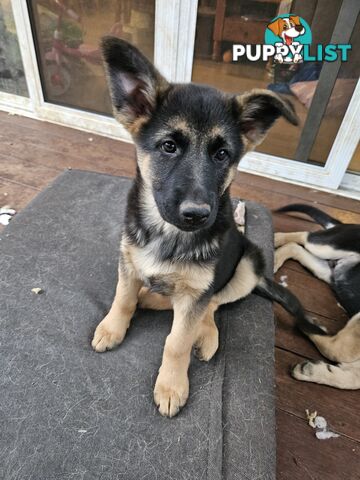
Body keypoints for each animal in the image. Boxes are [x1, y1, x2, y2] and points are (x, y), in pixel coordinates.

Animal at [92, 38, 324, 416]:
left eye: (222, 154)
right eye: (169, 146)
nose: (197, 214)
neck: (169, 235)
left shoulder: (198, 290)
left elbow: (177, 341)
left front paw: (171, 385)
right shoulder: (128, 262)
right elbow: (122, 298)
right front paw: (113, 328)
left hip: (246, 265)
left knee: (212, 304)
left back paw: (203, 331)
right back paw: (149, 296)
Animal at [274, 204, 358, 388]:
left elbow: (352, 380)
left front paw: (312, 371)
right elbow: (337, 349)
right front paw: (309, 325)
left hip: (330, 271)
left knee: (296, 247)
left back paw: (276, 257)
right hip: (329, 247)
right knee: (305, 236)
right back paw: (275, 239)